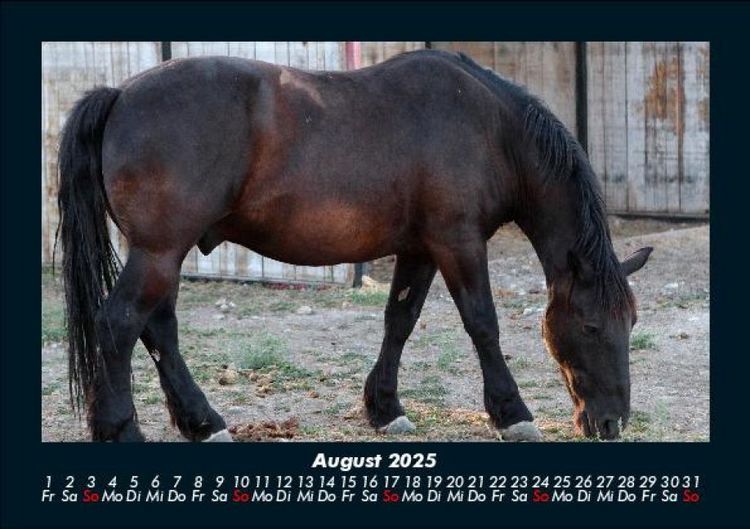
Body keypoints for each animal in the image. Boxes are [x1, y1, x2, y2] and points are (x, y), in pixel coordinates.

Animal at [56, 49, 652, 442]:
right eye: (591, 326)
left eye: (631, 323)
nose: (611, 422)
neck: (491, 129)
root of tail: (119, 94)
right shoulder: (458, 242)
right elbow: (483, 323)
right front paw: (512, 413)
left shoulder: (420, 248)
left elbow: (399, 320)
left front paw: (385, 408)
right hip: (159, 251)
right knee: (119, 324)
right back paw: (121, 429)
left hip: (162, 254)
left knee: (157, 329)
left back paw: (202, 423)